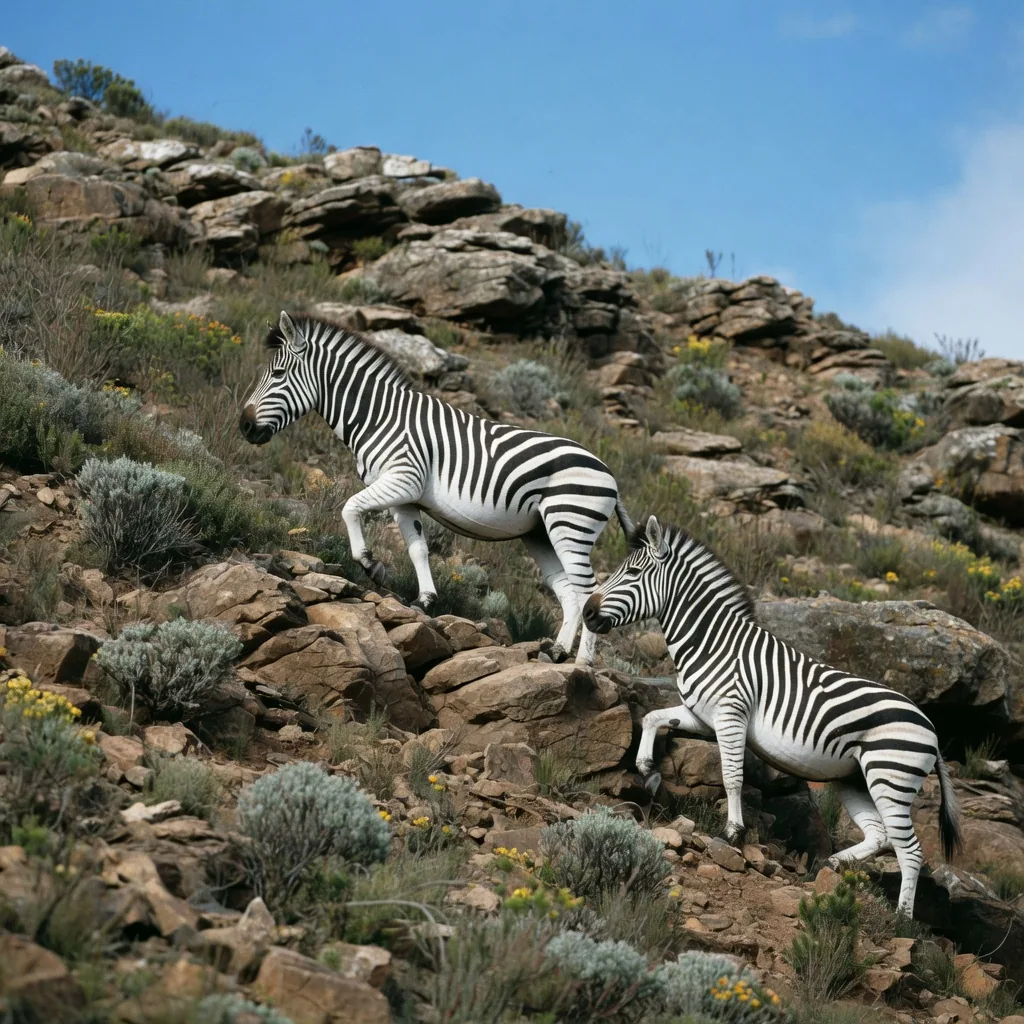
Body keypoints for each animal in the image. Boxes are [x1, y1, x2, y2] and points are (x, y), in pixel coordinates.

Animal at [239, 311, 633, 665]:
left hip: (570, 524)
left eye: (277, 374)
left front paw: (370, 563)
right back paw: (558, 651)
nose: (244, 426)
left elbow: (349, 507)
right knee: (569, 593)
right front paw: (424, 598)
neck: (378, 415)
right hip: (540, 533)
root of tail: (609, 473)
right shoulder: (405, 498)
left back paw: (583, 661)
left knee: (586, 591)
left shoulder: (402, 479)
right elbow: (418, 549)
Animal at [581, 515, 962, 917]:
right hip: (855, 777)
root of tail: (931, 729)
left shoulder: (731, 713)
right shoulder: (701, 714)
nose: (587, 613)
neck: (712, 642)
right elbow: (653, 717)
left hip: (890, 777)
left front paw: (732, 832)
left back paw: (902, 917)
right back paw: (830, 864)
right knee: (879, 834)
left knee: (910, 851)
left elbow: (732, 777)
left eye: (632, 572)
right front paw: (646, 768)